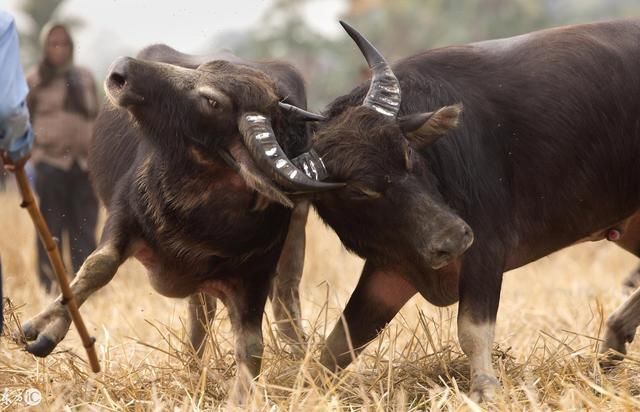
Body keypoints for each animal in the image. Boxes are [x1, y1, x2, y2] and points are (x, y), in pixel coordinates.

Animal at [15, 43, 340, 388]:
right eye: (204, 70)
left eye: (212, 101)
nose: (121, 70)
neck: (201, 213)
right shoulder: (124, 213)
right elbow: (97, 267)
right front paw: (39, 330)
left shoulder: (257, 270)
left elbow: (252, 344)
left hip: (295, 236)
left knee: (281, 293)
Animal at [254, 20, 640, 400]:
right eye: (359, 191)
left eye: (408, 155)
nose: (453, 237)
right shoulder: (391, 271)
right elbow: (338, 346)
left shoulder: (485, 250)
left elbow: (472, 329)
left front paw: (486, 389)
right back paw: (613, 340)